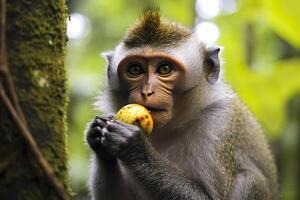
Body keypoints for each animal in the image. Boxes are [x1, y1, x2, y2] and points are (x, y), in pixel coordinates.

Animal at [85, 10, 278, 199]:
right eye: (135, 70)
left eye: (165, 69)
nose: (146, 92)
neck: (173, 125)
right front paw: (97, 133)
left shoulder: (218, 126)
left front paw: (135, 147)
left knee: (250, 179)